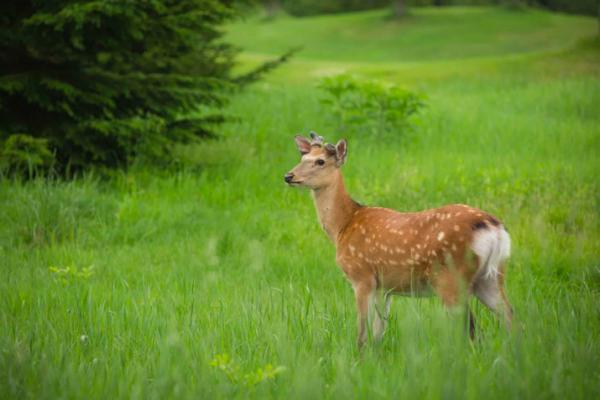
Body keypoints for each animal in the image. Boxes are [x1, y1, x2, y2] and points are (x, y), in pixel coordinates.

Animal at [284, 133, 512, 348]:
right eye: (302, 157)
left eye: (320, 161)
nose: (288, 175)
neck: (343, 225)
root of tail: (493, 228)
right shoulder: (385, 288)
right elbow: (378, 332)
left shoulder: (361, 276)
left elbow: (362, 333)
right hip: (492, 277)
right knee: (510, 318)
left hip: (451, 277)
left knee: (472, 330)